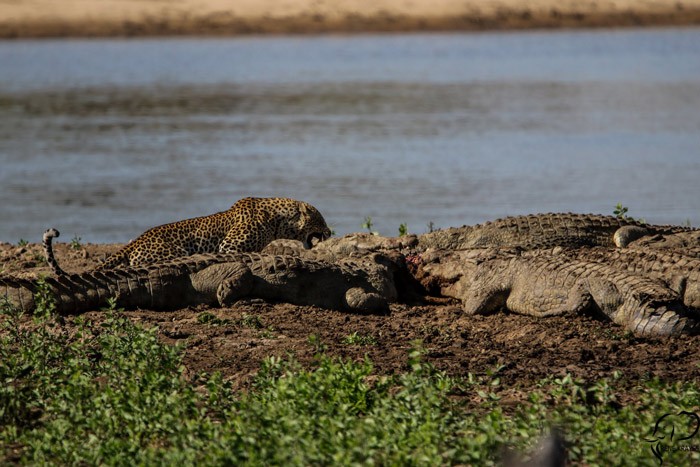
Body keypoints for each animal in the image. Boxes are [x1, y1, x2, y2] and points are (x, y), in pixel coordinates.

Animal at [43, 197, 330, 276]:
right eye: (321, 219)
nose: (329, 231)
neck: (279, 220)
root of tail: (134, 242)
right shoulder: (228, 247)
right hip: (175, 252)